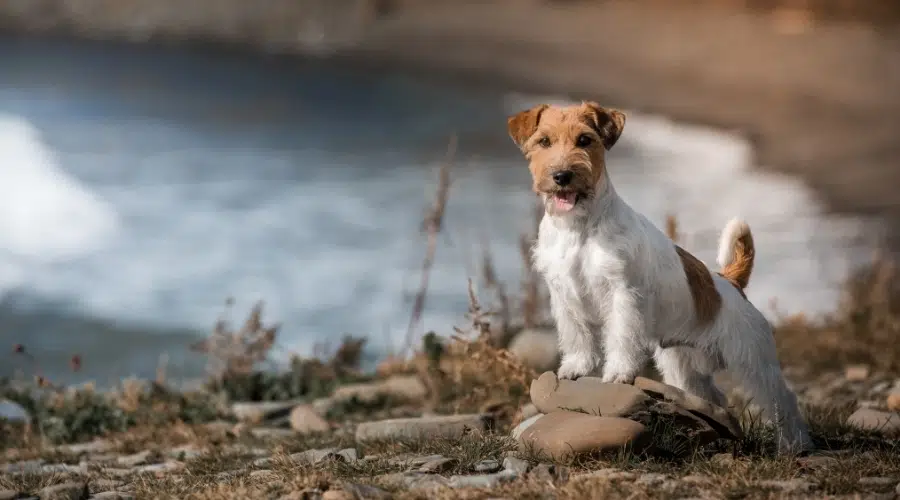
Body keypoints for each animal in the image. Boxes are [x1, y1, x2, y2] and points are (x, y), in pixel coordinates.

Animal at [510, 100, 812, 454]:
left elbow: (620, 339)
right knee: (711, 398)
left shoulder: (622, 295)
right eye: (543, 141)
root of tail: (731, 283)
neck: (579, 228)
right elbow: (576, 336)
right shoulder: (564, 296)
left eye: (585, 140)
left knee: (782, 399)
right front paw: (576, 368)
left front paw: (617, 374)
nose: (562, 176)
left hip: (753, 359)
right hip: (684, 367)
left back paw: (796, 445)